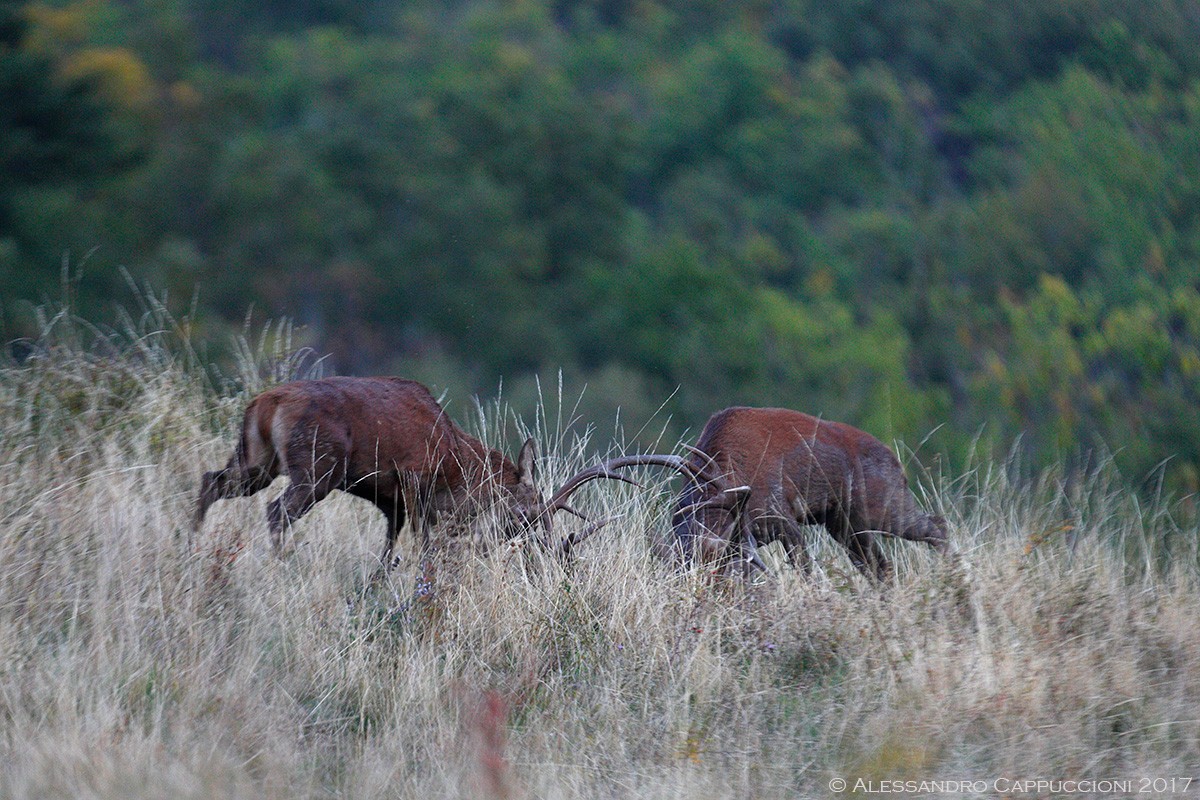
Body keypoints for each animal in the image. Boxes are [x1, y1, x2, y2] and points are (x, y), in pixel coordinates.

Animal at [609, 407, 945, 582]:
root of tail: (895, 460)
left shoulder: (783, 518)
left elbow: (806, 570)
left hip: (882, 506)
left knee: (936, 526)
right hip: (845, 525)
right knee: (880, 566)